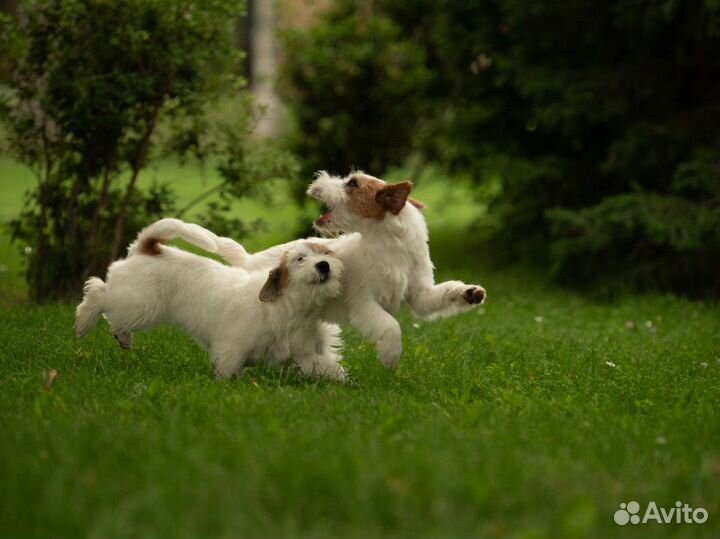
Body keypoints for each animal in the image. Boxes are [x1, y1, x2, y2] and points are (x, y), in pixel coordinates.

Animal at [74, 217, 346, 382]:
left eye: (326, 253)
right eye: (300, 259)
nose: (323, 265)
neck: (290, 306)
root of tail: (148, 248)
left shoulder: (305, 353)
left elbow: (325, 366)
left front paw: (341, 381)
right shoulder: (232, 347)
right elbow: (227, 368)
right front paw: (225, 385)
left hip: (135, 307)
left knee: (115, 317)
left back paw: (123, 338)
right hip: (137, 306)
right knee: (98, 292)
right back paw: (83, 322)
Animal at [179, 172, 486, 368]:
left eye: (352, 183)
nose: (316, 179)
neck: (390, 247)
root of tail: (247, 260)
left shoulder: (420, 294)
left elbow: (443, 293)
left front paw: (471, 293)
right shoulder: (364, 303)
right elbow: (391, 325)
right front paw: (390, 356)